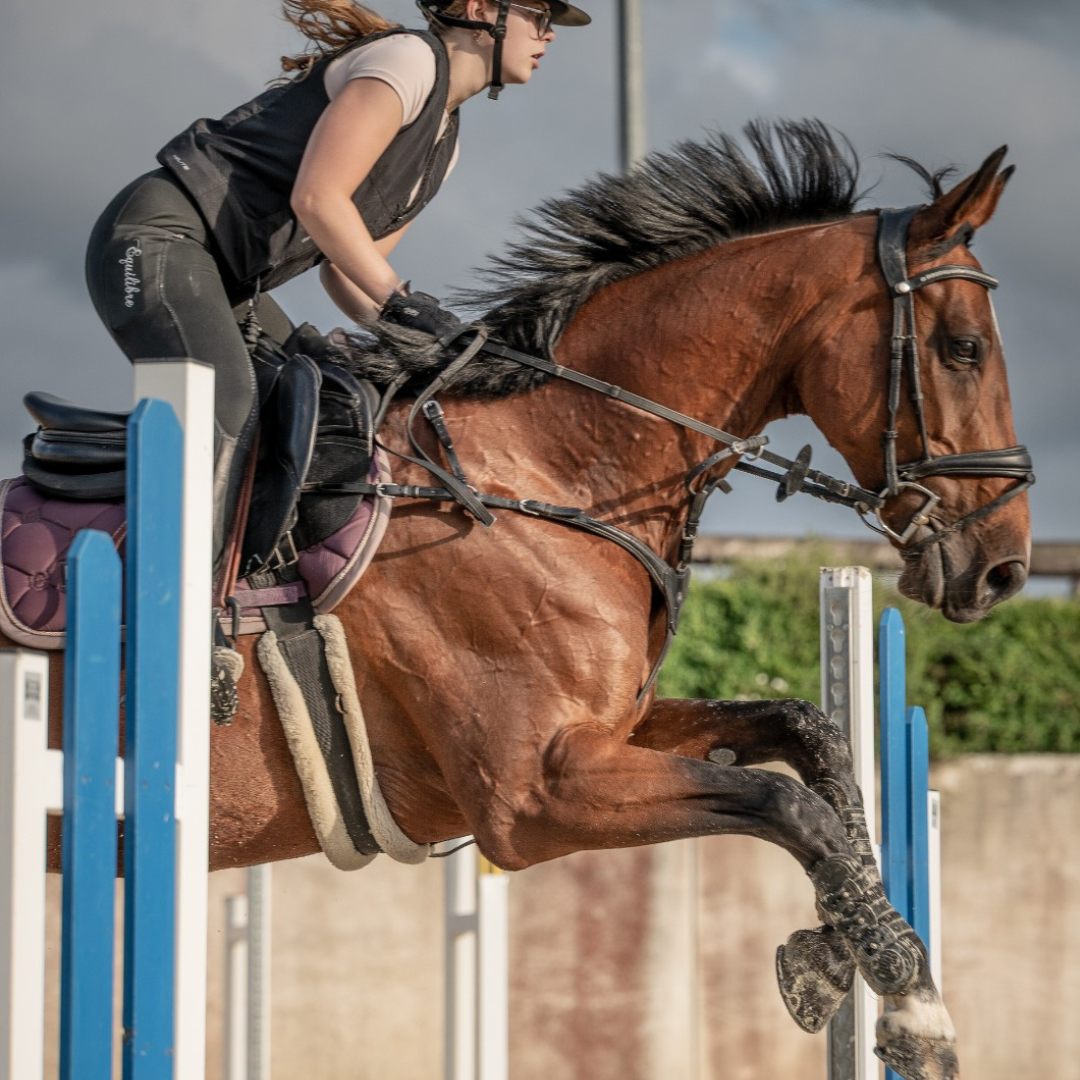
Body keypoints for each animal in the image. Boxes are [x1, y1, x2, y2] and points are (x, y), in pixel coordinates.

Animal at [12, 121, 1031, 1080]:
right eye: (964, 349)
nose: (1005, 568)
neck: (550, 470)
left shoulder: (612, 733)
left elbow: (810, 742)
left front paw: (838, 952)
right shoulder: (536, 794)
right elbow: (787, 805)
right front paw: (912, 1006)